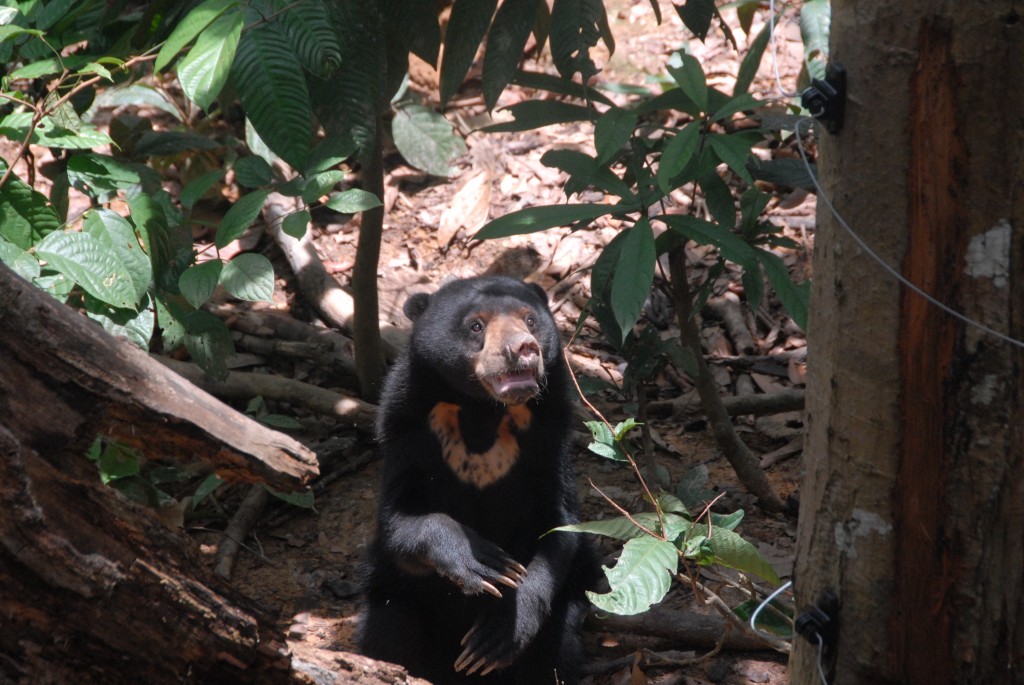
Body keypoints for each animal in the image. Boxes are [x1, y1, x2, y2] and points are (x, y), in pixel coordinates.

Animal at [362, 274, 598, 679]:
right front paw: (487, 564)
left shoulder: (548, 444)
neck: (483, 410)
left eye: (530, 320)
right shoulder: (407, 433)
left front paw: (497, 635)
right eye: (476, 326)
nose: (524, 348)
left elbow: (559, 529)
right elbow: (399, 525)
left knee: (558, 649)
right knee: (388, 627)